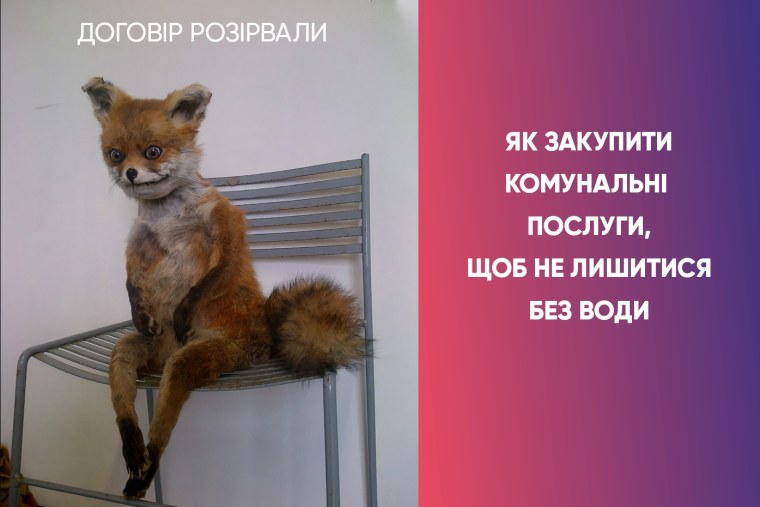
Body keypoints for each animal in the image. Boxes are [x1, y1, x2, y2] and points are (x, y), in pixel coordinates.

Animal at [82, 77, 365, 499]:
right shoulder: (137, 245)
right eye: (115, 155)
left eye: (152, 151)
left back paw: (148, 463)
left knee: (163, 425)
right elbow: (130, 280)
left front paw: (183, 309)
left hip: (193, 360)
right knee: (124, 401)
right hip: (129, 352)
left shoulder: (227, 228)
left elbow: (210, 279)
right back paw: (133, 451)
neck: (167, 219)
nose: (130, 173)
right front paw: (138, 308)